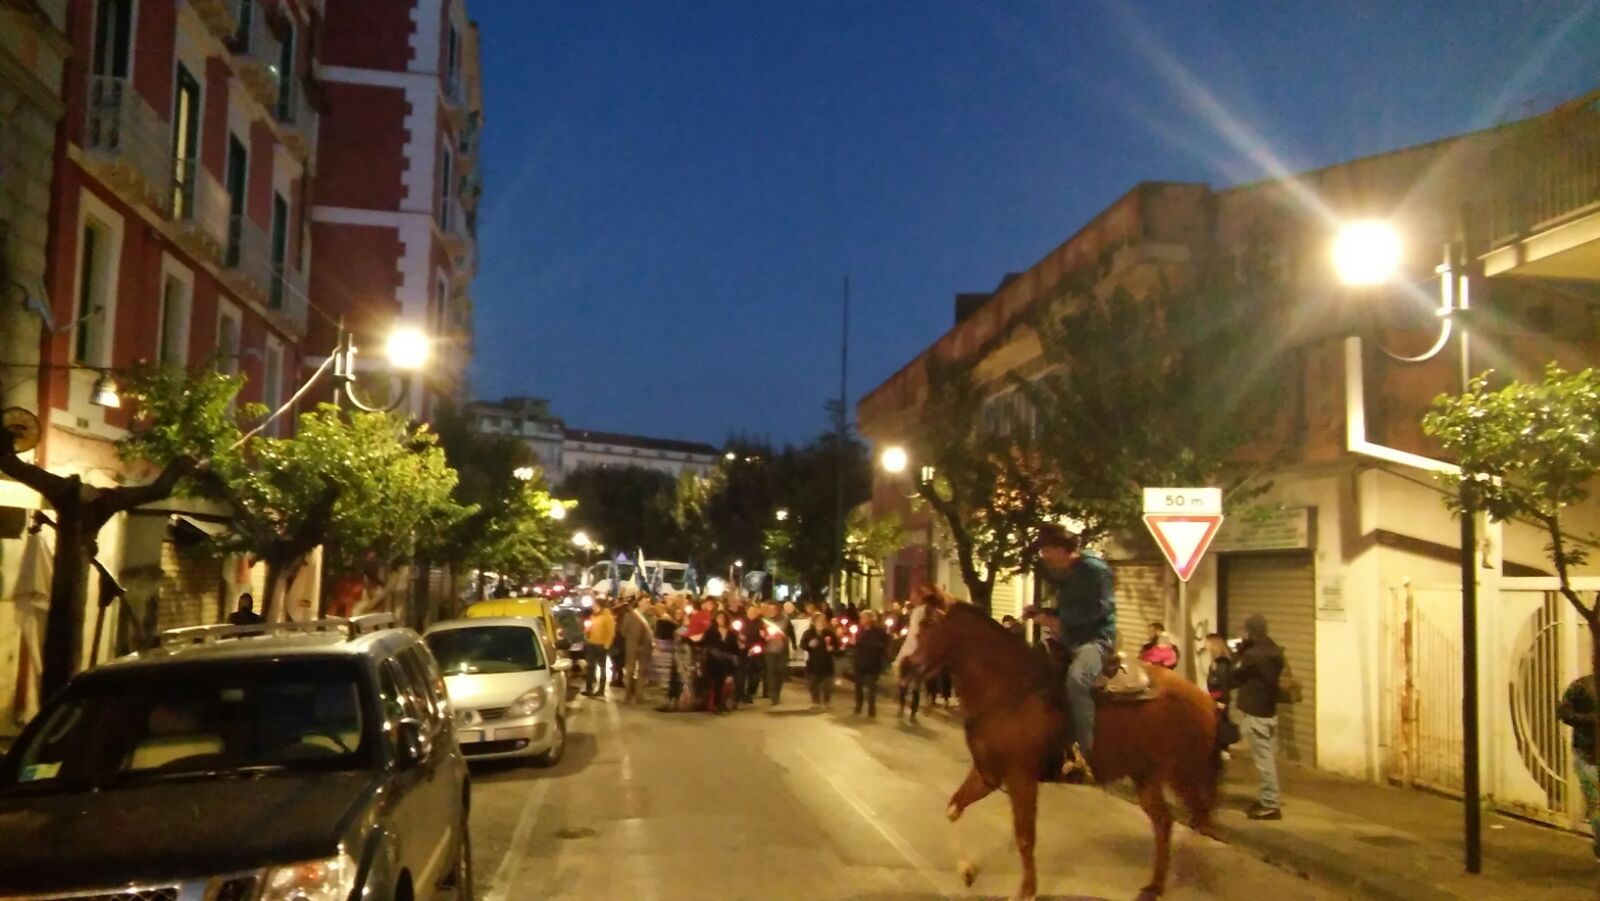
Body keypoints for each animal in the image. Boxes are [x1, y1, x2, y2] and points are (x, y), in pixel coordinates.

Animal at [908, 588, 1216, 901]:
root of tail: (1203, 698)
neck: (1009, 688)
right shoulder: (988, 773)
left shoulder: (1021, 778)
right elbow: (954, 808)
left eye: (929, 622)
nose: (903, 666)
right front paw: (967, 870)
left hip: (1185, 775)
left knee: (1199, 822)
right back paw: (1153, 886)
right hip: (1146, 775)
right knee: (1164, 823)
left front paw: (1026, 890)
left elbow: (1024, 836)